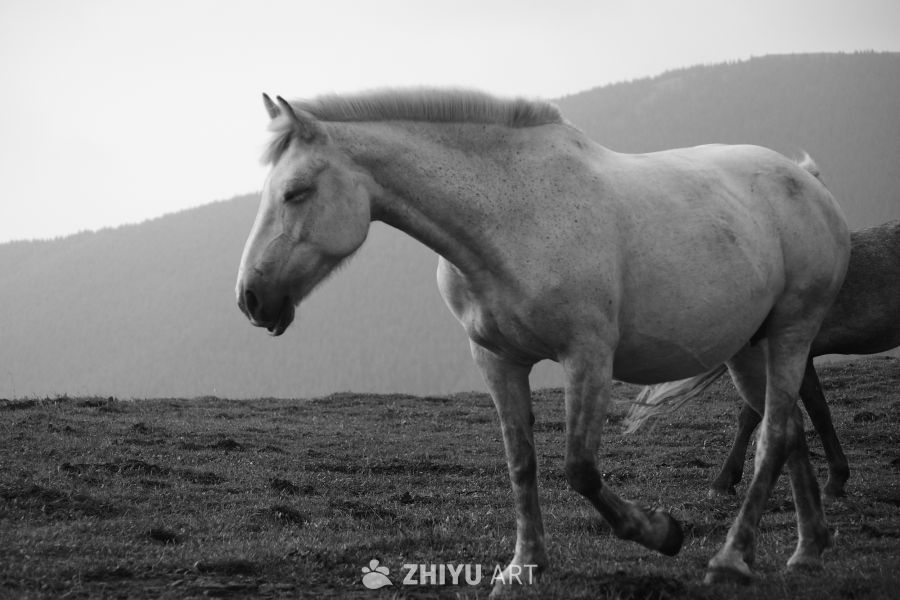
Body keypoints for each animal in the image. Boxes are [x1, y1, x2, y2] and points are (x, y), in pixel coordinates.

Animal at [235, 89, 850, 591]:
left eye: (295, 192)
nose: (251, 298)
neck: (510, 215)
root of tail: (808, 181)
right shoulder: (498, 361)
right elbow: (521, 463)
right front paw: (523, 567)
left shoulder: (588, 357)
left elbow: (580, 468)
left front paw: (660, 532)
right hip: (749, 347)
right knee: (789, 430)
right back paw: (808, 550)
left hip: (792, 331)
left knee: (774, 434)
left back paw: (731, 559)